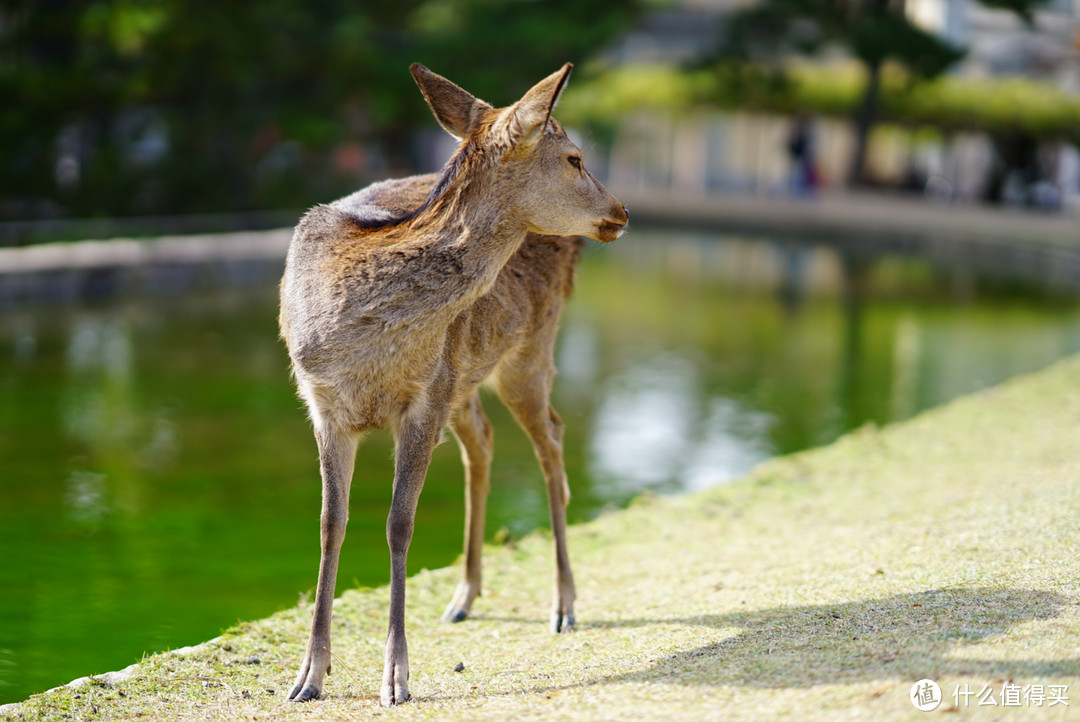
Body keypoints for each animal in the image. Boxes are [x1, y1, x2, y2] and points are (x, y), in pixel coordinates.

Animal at [278, 60, 630, 703]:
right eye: (574, 157)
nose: (621, 212)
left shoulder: (422, 401)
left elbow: (399, 524)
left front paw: (396, 677)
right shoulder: (323, 404)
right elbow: (329, 525)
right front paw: (308, 675)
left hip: (527, 350)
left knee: (552, 438)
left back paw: (564, 604)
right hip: (463, 376)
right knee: (483, 442)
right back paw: (465, 595)